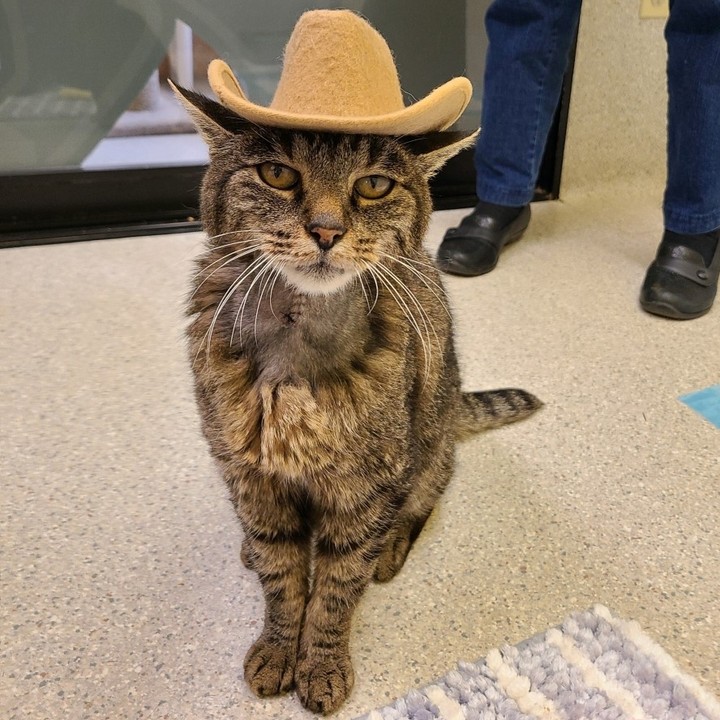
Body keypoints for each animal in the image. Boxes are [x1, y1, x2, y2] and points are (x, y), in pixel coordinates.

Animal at [170, 86, 540, 716]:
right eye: (277, 174)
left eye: (373, 186)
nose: (326, 231)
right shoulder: (250, 475)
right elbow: (282, 575)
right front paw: (278, 645)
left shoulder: (368, 488)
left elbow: (336, 588)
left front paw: (321, 662)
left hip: (427, 448)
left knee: (424, 498)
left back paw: (390, 549)